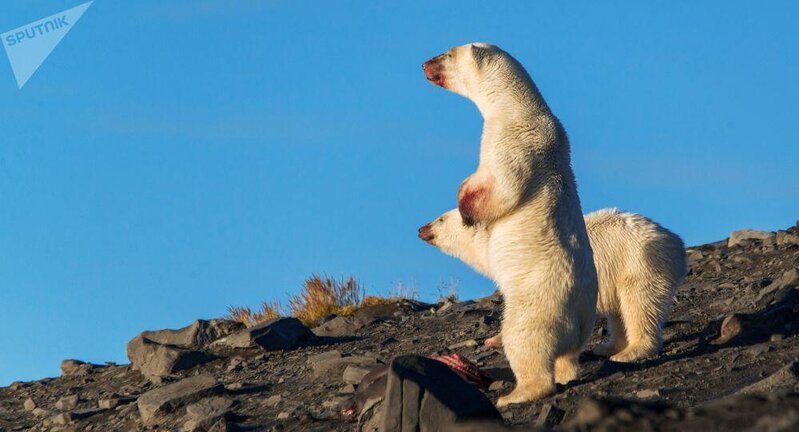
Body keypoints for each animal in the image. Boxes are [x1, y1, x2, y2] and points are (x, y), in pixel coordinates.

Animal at [422, 208, 692, 362]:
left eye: (441, 219)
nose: (421, 228)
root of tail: (677, 244)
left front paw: (497, 339)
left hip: (639, 263)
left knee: (639, 305)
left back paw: (630, 352)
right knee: (619, 311)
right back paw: (606, 347)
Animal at [424, 42, 600, 404]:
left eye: (447, 53)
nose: (424, 64)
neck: (518, 108)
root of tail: (577, 319)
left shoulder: (514, 141)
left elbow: (501, 185)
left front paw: (466, 209)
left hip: (535, 307)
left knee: (524, 342)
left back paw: (514, 393)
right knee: (567, 357)